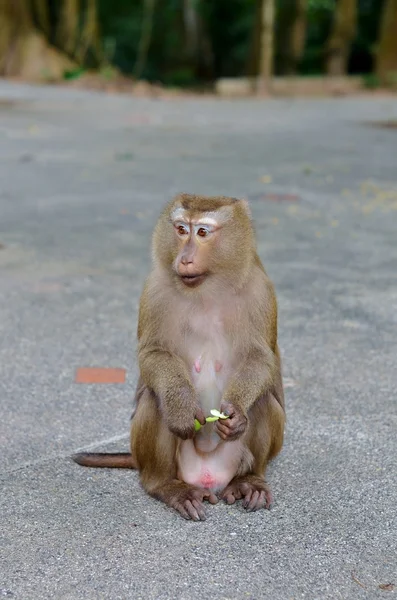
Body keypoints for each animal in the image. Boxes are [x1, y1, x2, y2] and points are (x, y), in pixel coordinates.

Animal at [72, 193, 284, 520]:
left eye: (202, 232)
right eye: (182, 229)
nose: (184, 258)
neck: (208, 287)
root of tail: (209, 477)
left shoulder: (261, 290)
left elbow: (260, 358)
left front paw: (236, 413)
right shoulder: (155, 289)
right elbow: (153, 353)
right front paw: (181, 406)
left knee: (261, 401)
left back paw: (249, 481)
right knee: (155, 400)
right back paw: (166, 486)